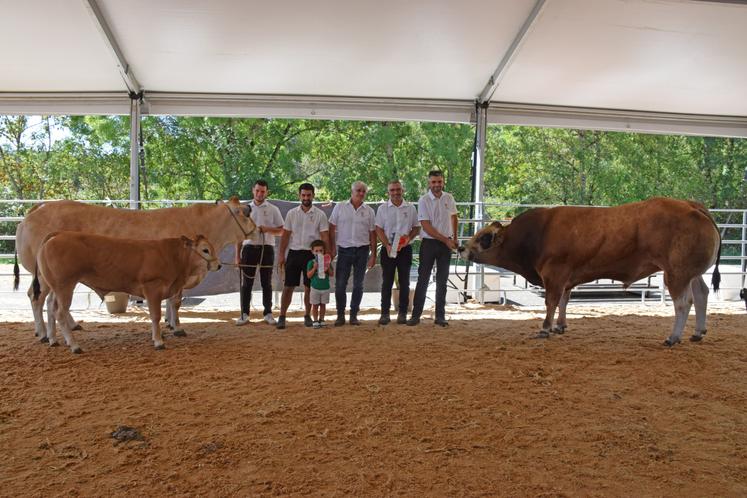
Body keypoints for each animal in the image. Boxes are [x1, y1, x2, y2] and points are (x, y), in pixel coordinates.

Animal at [14, 197, 255, 340]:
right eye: (246, 212)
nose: (257, 229)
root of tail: (39, 206)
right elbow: (175, 302)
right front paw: (177, 328)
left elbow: (170, 303)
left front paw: (169, 324)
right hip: (45, 277)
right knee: (38, 298)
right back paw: (43, 333)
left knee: (49, 302)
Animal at [33, 232, 221, 353]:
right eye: (205, 250)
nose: (218, 265)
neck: (173, 257)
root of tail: (55, 236)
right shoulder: (152, 288)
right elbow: (155, 316)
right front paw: (158, 341)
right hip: (65, 285)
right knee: (59, 312)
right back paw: (74, 346)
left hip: (56, 287)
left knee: (50, 306)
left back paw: (53, 340)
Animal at [458, 198, 721, 346]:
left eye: (484, 238)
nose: (461, 248)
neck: (538, 233)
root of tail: (692, 206)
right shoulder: (566, 278)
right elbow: (563, 301)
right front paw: (560, 326)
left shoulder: (554, 275)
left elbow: (551, 302)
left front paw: (545, 328)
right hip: (691, 273)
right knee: (701, 294)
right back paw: (698, 333)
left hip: (676, 273)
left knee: (683, 302)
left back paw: (673, 337)